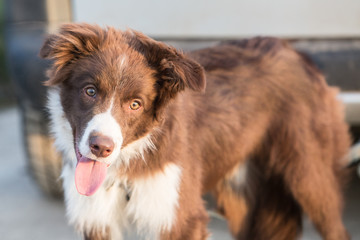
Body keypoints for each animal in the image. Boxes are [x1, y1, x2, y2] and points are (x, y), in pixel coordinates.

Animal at [40, 23, 352, 240]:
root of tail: (297, 52)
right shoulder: (96, 219)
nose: (101, 148)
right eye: (90, 91)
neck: (128, 163)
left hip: (309, 174)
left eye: (135, 104)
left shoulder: (178, 218)